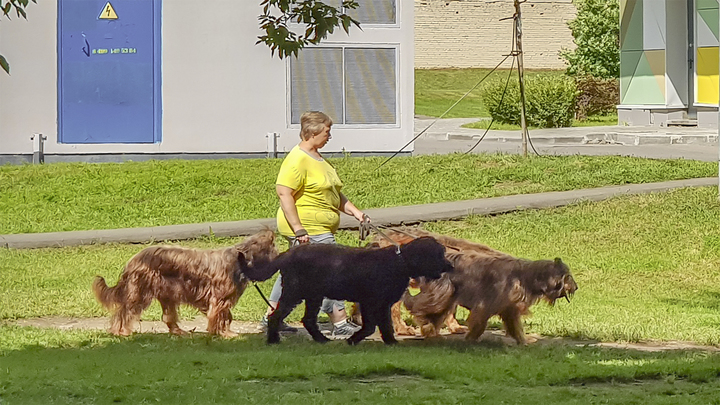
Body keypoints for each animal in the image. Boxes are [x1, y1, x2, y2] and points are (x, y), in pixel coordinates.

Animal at [93, 229, 278, 336]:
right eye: (273, 249)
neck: (240, 260)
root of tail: (133, 260)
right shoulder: (219, 299)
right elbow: (221, 315)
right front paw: (225, 334)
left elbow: (225, 316)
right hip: (140, 290)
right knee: (125, 311)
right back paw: (121, 331)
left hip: (167, 292)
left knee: (168, 316)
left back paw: (178, 331)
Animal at [245, 237, 452, 344]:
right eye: (439, 254)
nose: (450, 266)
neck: (401, 262)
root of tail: (288, 254)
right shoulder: (371, 301)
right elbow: (371, 326)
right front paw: (354, 339)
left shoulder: (380, 304)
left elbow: (384, 325)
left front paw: (390, 342)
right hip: (294, 292)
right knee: (275, 315)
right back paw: (273, 340)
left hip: (314, 296)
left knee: (308, 320)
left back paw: (322, 340)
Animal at [404, 251, 580, 342]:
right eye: (568, 277)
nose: (577, 287)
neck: (527, 277)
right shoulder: (485, 304)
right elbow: (480, 323)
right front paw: (471, 338)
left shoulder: (510, 309)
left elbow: (515, 326)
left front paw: (523, 341)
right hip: (441, 294)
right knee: (419, 306)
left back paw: (430, 332)